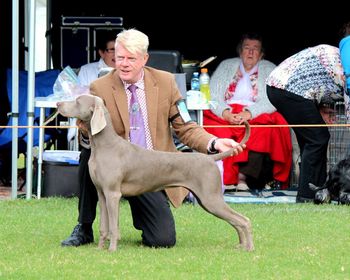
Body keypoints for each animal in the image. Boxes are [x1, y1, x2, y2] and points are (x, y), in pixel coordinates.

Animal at [57, 95, 254, 253]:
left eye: (77, 101)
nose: (58, 103)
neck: (103, 146)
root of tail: (210, 158)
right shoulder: (102, 194)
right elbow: (103, 226)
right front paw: (99, 249)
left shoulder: (113, 194)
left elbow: (113, 227)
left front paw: (112, 250)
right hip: (208, 200)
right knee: (236, 221)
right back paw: (241, 245)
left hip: (210, 198)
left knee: (243, 220)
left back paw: (249, 248)